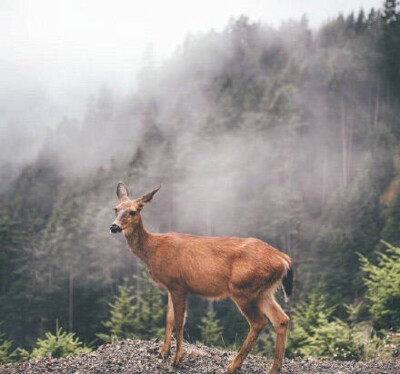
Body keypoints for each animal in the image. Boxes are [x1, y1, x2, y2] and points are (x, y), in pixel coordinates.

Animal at [111, 183, 292, 372]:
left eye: (133, 211)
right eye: (116, 209)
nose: (114, 227)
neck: (153, 250)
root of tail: (284, 259)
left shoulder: (178, 285)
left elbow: (179, 321)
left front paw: (177, 359)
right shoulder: (171, 286)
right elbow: (169, 318)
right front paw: (163, 353)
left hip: (243, 288)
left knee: (259, 322)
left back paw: (233, 366)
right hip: (263, 291)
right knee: (281, 320)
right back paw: (274, 368)